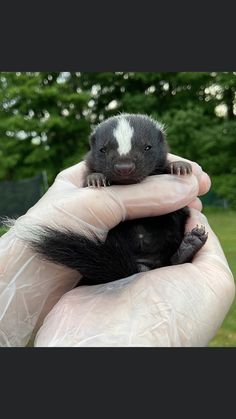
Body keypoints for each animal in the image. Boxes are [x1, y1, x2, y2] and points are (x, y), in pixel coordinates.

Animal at [27, 114, 206, 286]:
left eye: (147, 147)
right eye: (103, 150)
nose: (124, 167)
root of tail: (142, 265)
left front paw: (179, 166)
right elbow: (87, 178)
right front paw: (96, 178)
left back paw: (189, 246)